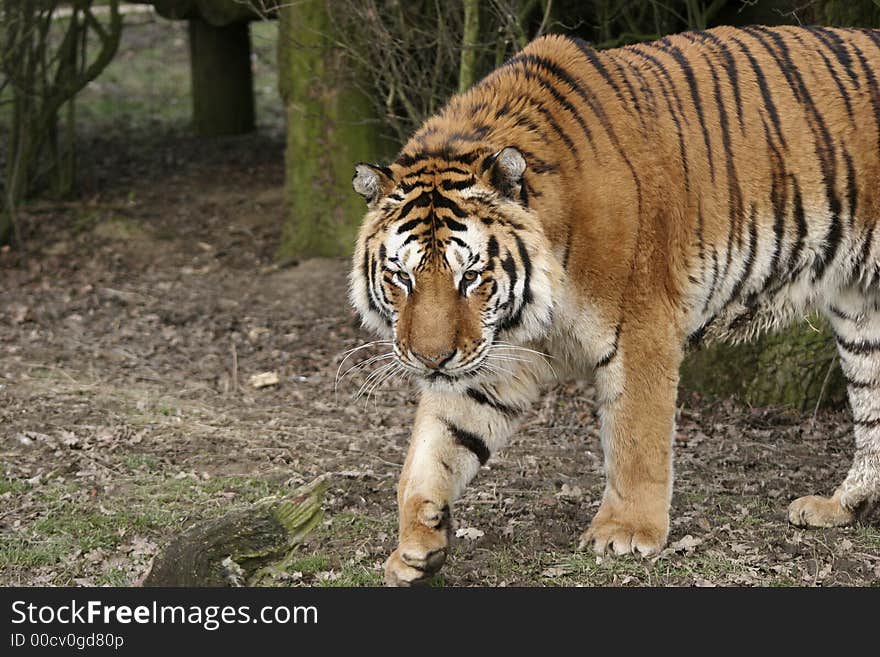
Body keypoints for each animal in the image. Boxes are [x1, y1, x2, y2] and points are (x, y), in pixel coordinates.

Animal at [348, 24, 876, 584]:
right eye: (402, 276)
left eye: (469, 277)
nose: (431, 361)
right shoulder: (488, 359)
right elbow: (432, 450)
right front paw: (415, 544)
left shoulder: (641, 328)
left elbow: (635, 439)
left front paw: (625, 532)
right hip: (860, 309)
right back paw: (842, 507)